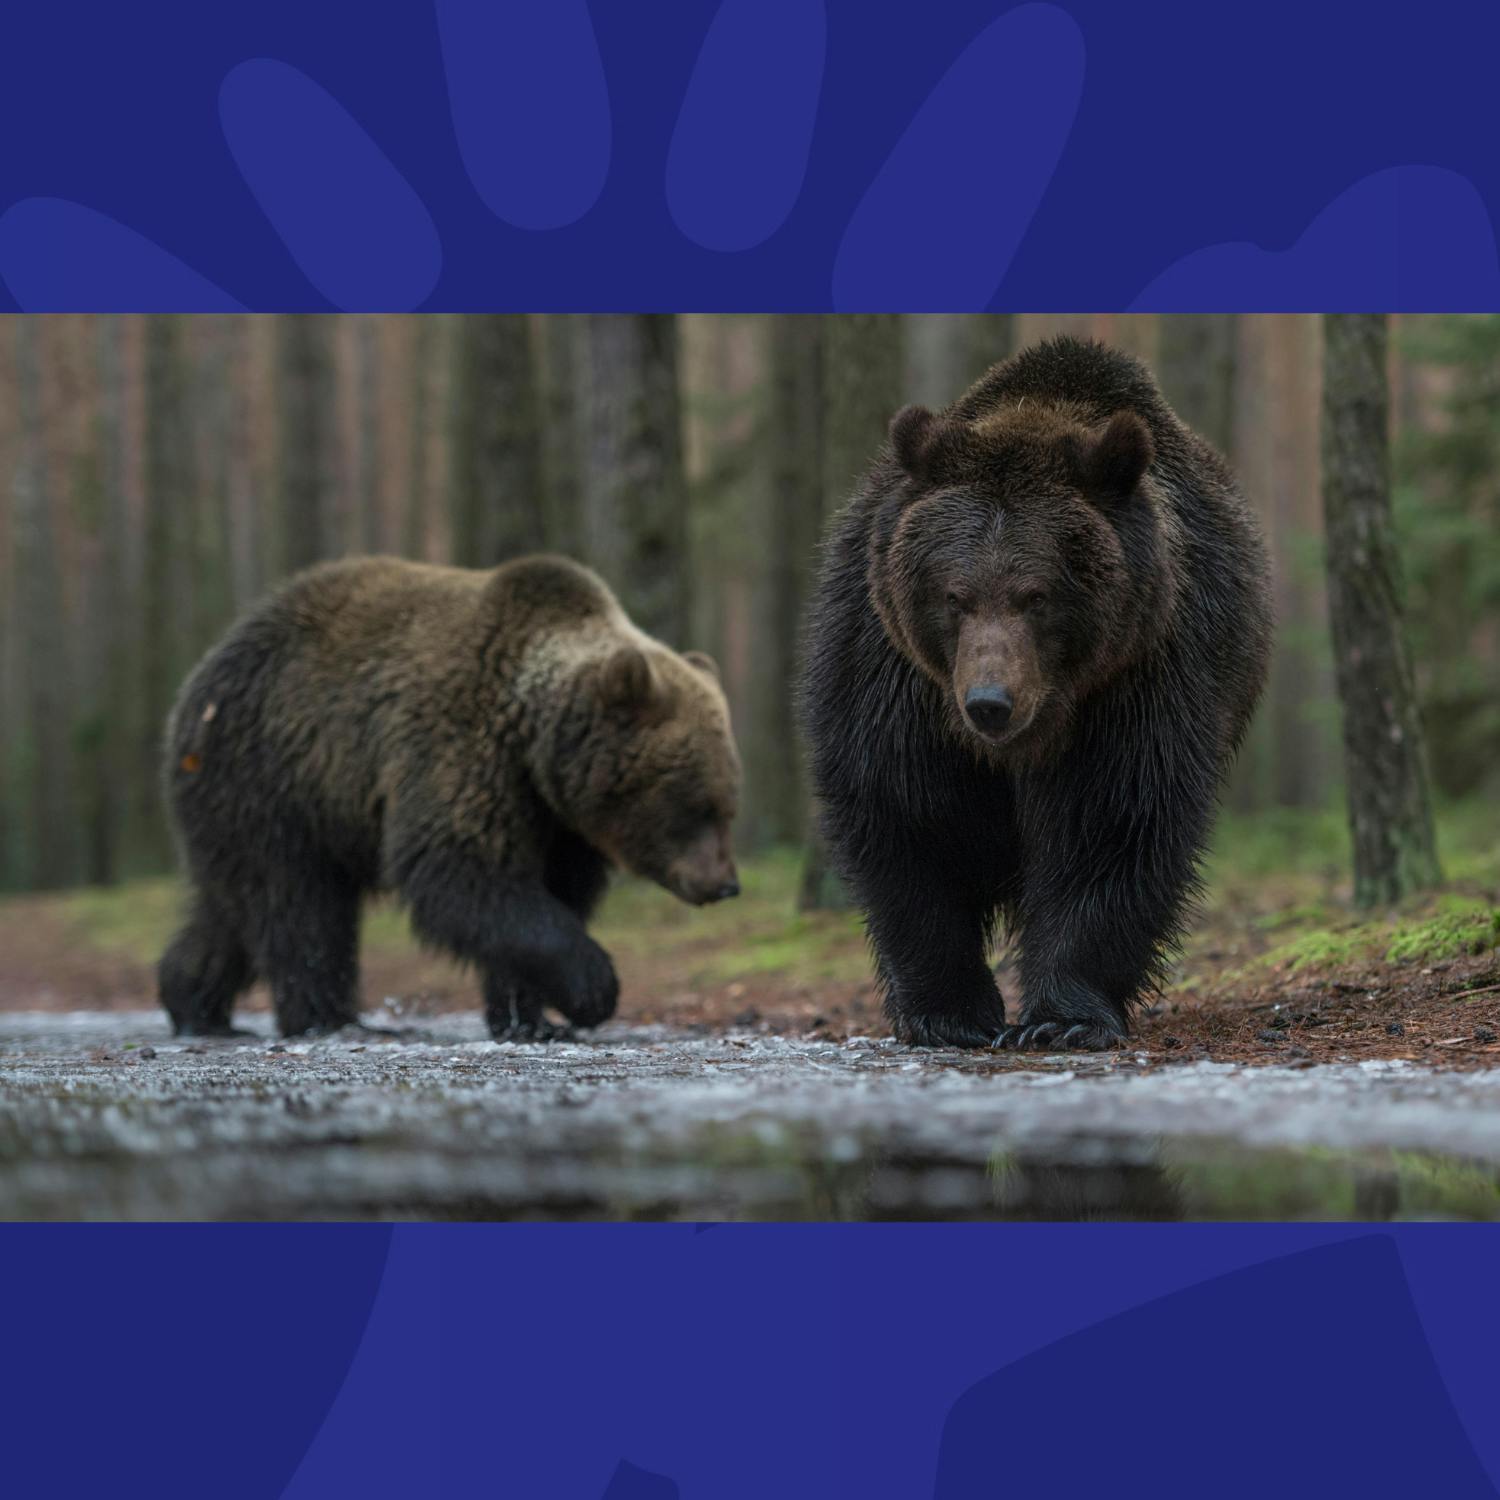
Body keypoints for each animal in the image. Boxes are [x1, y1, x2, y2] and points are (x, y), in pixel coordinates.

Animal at [158, 554, 742, 1042]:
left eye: (729, 805)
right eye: (698, 806)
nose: (726, 884)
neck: (535, 744)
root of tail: (196, 681)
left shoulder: (556, 822)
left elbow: (546, 894)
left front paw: (531, 1019)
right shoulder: (461, 746)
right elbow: (460, 872)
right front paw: (591, 988)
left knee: (233, 907)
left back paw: (194, 1004)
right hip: (274, 773)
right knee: (299, 903)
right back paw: (330, 1018)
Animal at [800, 337, 1272, 1051]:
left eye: (1038, 595)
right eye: (954, 595)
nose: (990, 701)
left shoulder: (1138, 677)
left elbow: (1110, 820)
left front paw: (1062, 1018)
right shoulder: (895, 679)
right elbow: (911, 816)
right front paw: (949, 1013)